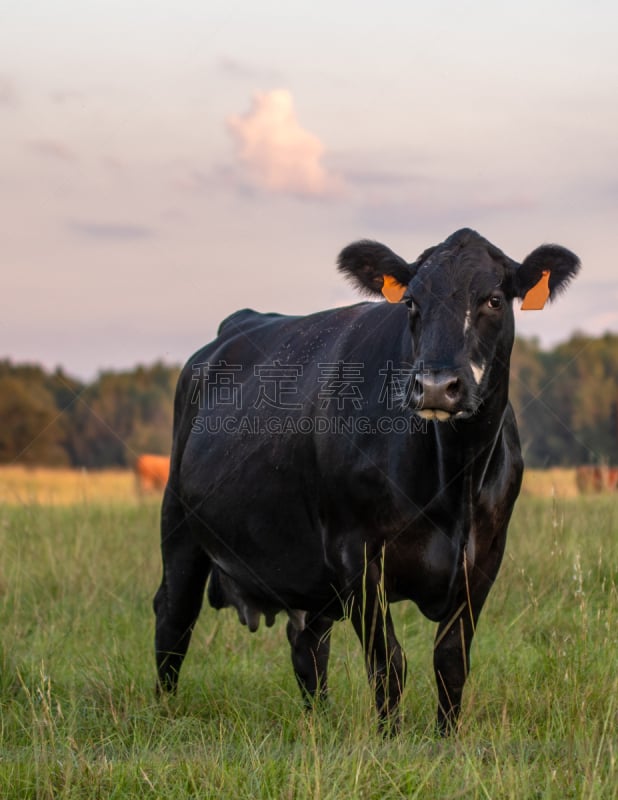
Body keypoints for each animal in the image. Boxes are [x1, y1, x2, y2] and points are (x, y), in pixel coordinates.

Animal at [155, 228, 576, 736]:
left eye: (493, 299)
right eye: (412, 301)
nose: (436, 387)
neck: (455, 481)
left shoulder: (486, 556)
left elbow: (451, 660)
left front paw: (447, 738)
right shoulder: (355, 551)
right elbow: (388, 662)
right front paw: (389, 738)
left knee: (307, 642)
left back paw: (319, 722)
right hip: (178, 524)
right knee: (173, 615)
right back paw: (163, 712)